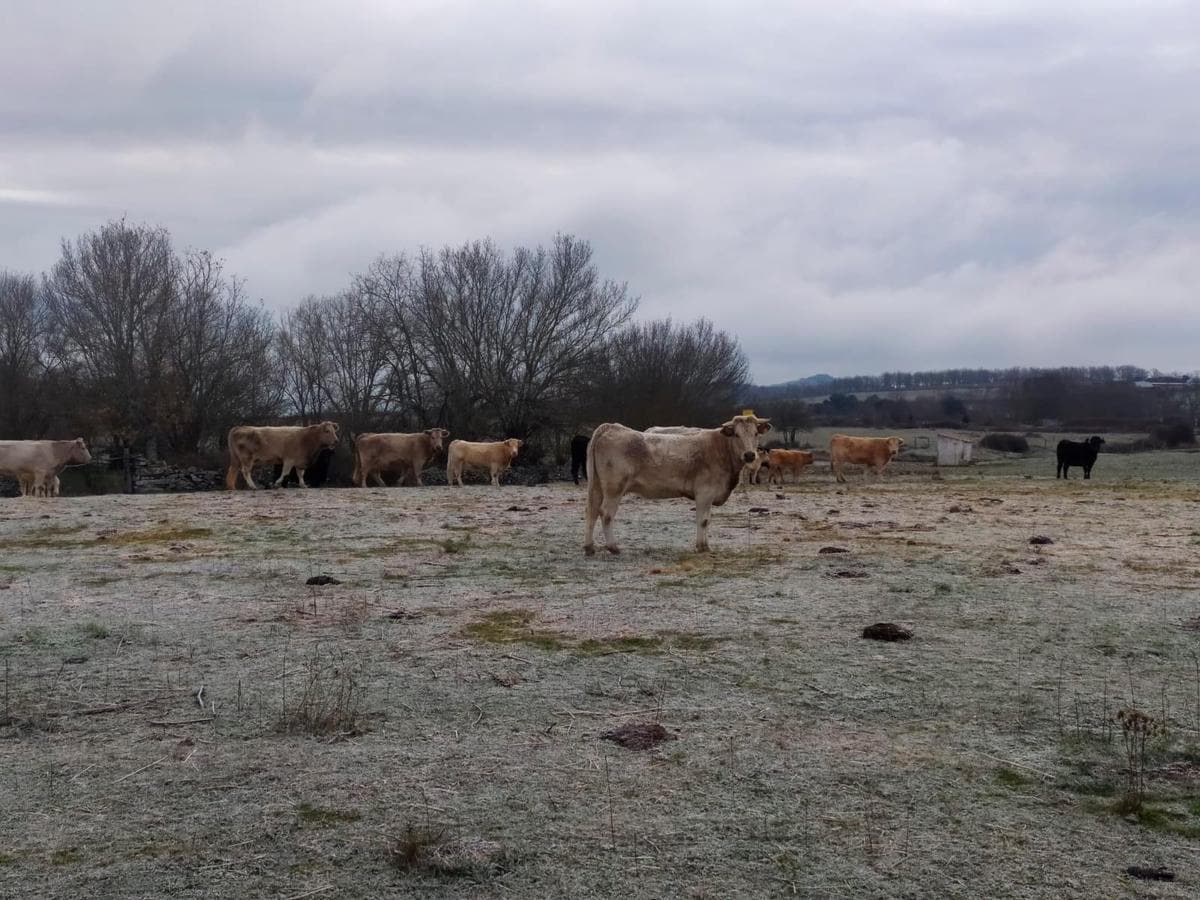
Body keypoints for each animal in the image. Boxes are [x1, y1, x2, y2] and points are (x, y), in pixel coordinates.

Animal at [585, 415, 772, 556]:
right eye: (736, 435)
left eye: (756, 433)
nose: (749, 455)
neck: (721, 449)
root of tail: (611, 427)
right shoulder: (704, 493)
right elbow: (703, 520)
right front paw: (702, 547)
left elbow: (707, 519)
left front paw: (704, 545)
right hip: (614, 488)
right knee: (606, 513)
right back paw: (613, 547)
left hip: (597, 486)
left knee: (592, 511)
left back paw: (589, 547)